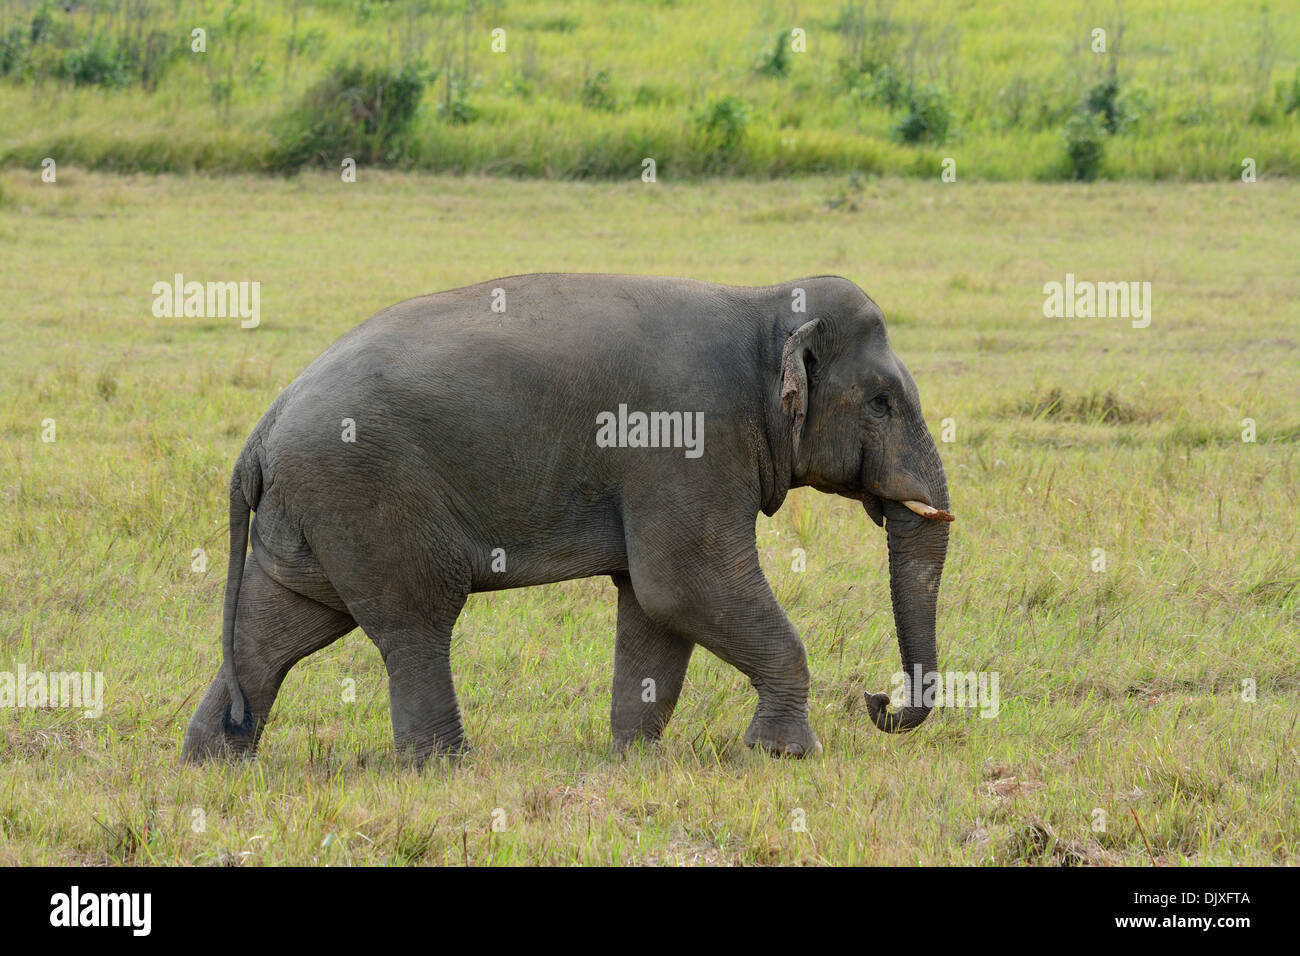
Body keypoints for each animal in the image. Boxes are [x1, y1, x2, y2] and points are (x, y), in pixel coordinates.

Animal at [181, 273, 952, 765]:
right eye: (881, 403)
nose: (877, 700)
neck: (762, 303)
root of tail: (264, 426)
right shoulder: (687, 440)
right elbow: (686, 584)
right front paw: (788, 755)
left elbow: (655, 605)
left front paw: (635, 757)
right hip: (366, 491)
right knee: (415, 620)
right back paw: (447, 767)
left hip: (315, 509)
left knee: (281, 625)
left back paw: (215, 761)